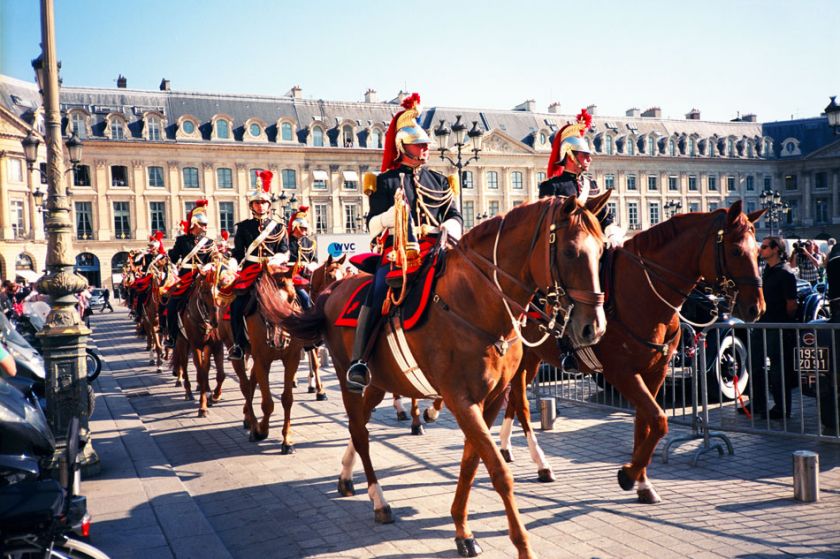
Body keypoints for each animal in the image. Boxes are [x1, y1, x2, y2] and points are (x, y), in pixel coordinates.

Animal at [276, 194, 612, 559]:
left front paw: (462, 529)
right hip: (346, 375)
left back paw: (347, 475)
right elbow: (498, 470)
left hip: (380, 381)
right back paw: (379, 500)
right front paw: (522, 544)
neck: (476, 305)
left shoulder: (490, 399)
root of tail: (333, 289)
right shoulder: (460, 400)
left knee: (359, 423)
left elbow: (472, 462)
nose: (594, 328)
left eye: (601, 249)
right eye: (570, 251)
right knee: (360, 432)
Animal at [498, 203, 768, 506]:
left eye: (758, 252)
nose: (756, 308)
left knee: (515, 396)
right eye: (735, 251)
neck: (642, 292)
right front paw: (628, 475)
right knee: (520, 401)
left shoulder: (655, 371)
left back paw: (507, 448)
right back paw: (540, 462)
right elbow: (660, 420)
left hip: (531, 356)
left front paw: (643, 483)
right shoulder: (622, 372)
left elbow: (644, 424)